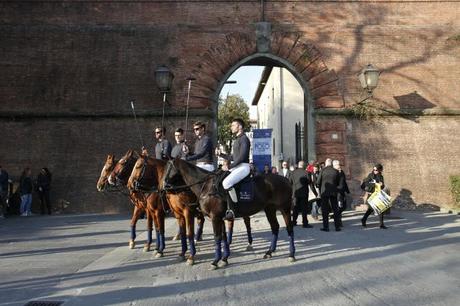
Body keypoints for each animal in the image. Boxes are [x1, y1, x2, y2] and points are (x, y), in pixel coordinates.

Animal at [162, 158, 294, 270]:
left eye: (168, 168)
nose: (164, 186)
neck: (206, 187)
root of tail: (286, 179)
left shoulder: (215, 217)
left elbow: (217, 237)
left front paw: (215, 261)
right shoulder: (220, 217)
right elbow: (223, 236)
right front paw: (224, 259)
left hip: (285, 209)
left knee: (289, 228)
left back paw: (291, 254)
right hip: (269, 209)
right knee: (275, 227)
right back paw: (269, 252)